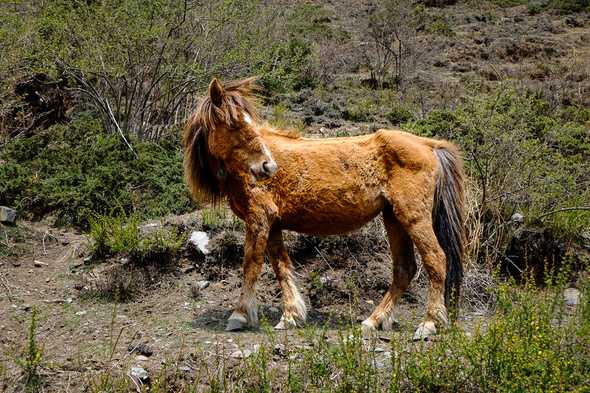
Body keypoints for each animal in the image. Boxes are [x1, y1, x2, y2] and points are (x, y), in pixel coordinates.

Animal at [185, 76, 468, 340]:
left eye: (247, 122)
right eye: (234, 124)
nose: (268, 166)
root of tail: (429, 145)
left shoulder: (259, 218)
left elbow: (251, 264)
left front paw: (240, 315)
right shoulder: (273, 224)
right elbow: (281, 266)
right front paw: (291, 315)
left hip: (413, 218)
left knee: (436, 260)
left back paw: (429, 323)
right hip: (394, 219)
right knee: (404, 269)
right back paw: (373, 321)